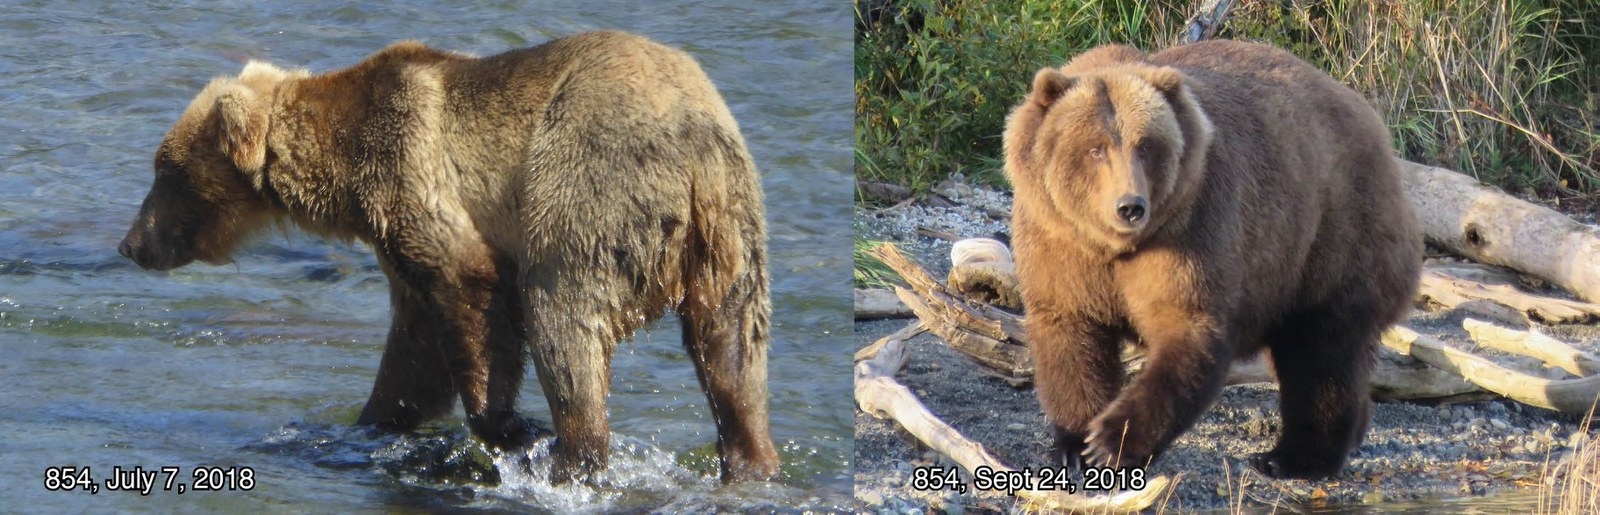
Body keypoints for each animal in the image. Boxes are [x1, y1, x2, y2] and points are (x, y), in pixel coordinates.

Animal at [118, 31, 780, 483]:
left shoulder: (414, 172)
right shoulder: (395, 244)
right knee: (731, 347)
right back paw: (751, 458)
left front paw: (510, 426)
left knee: (562, 316)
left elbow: (472, 293)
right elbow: (413, 357)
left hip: (587, 182)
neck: (344, 175)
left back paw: (569, 454)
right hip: (731, 229)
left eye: (163, 169)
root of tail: (694, 141)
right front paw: (371, 420)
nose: (131, 244)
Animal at [1004, 40, 1420, 479]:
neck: (1113, 247)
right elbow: (1071, 335)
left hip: (1332, 236)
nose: (1130, 206)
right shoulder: (1059, 243)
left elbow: (1188, 326)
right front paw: (1074, 445)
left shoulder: (1190, 228)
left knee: (1323, 352)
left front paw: (1110, 441)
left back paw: (1291, 457)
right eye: (1095, 148)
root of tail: (1376, 127)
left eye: (1146, 145)